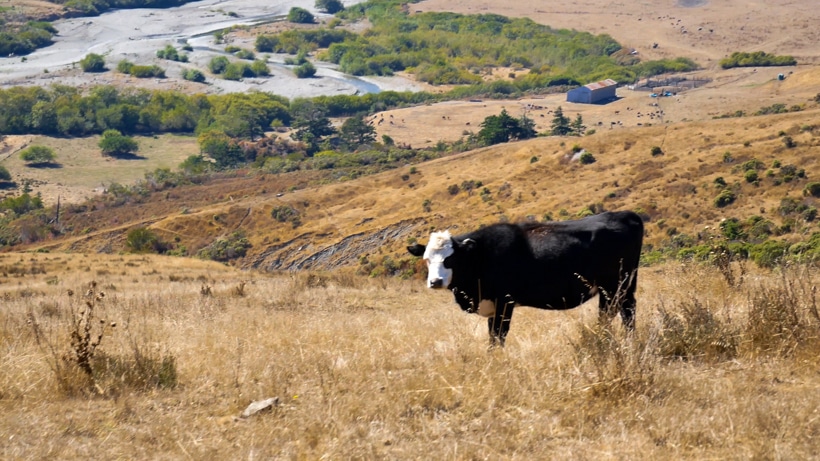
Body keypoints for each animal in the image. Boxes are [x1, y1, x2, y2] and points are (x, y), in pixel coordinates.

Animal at [407, 211, 644, 347]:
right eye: (427, 259)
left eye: (451, 259)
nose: (435, 282)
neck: (482, 255)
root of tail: (625, 214)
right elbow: (492, 336)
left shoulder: (504, 302)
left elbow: (499, 336)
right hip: (619, 286)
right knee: (620, 312)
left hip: (616, 284)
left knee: (620, 312)